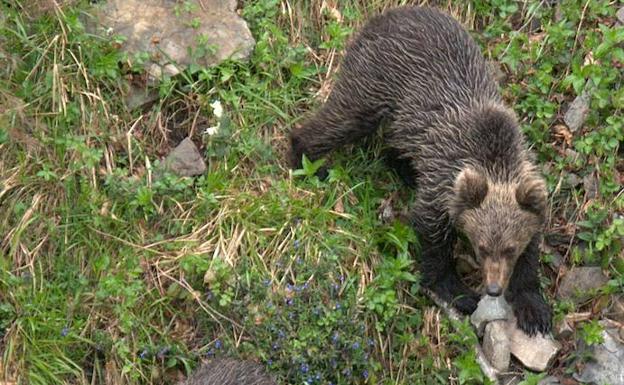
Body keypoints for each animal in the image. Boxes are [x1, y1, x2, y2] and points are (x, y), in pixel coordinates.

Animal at [288, 5, 552, 332]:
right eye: (480, 247)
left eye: (510, 248)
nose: (493, 289)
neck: (494, 159)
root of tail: (385, 15)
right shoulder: (444, 176)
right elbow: (430, 234)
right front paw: (459, 292)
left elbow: (531, 249)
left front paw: (534, 308)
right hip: (377, 79)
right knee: (343, 117)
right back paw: (306, 158)